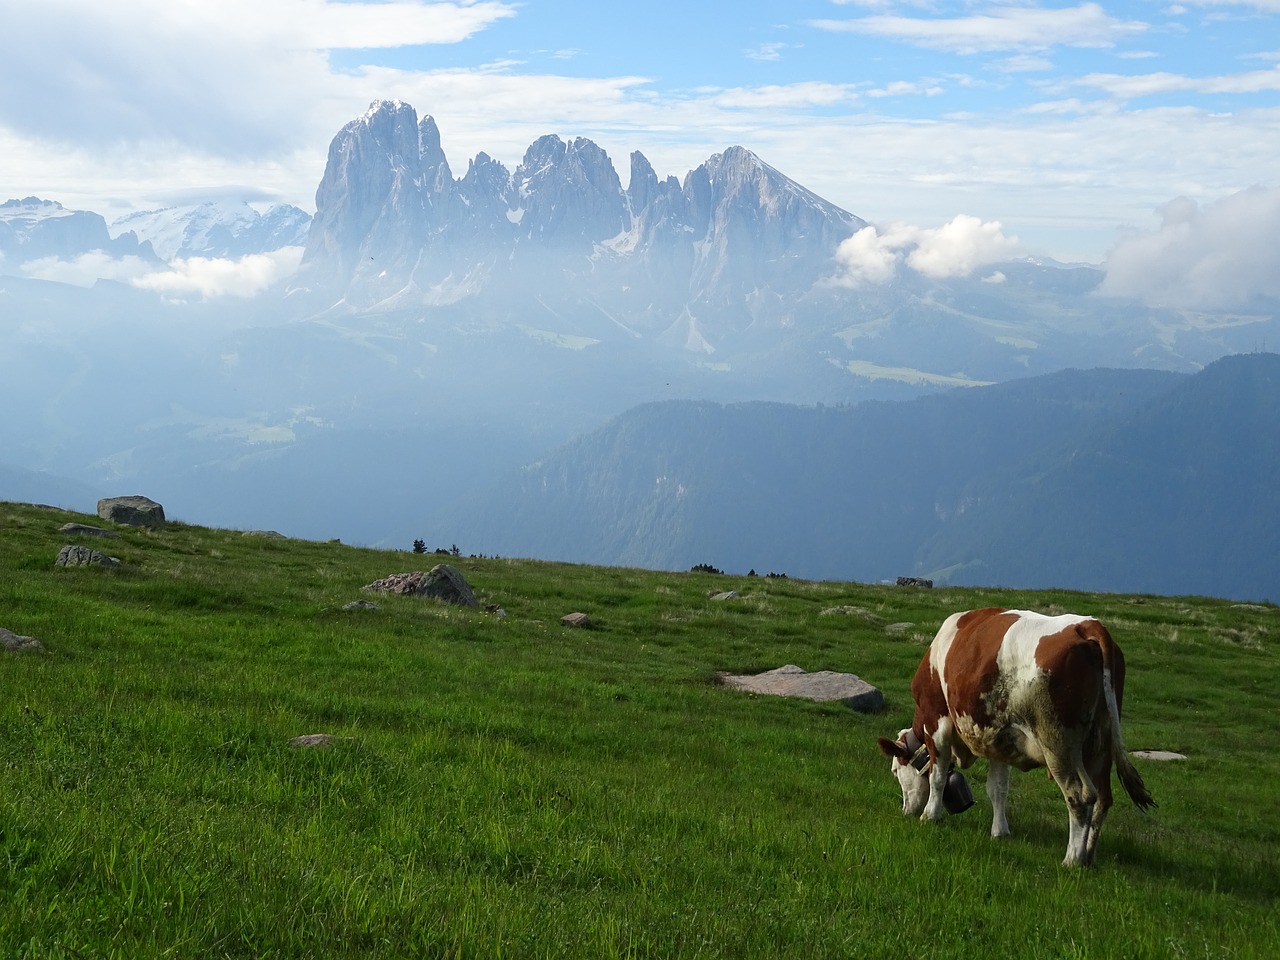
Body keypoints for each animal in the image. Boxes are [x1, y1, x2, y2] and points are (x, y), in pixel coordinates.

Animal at [875, 609, 1157, 870]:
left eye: (895, 770)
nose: (905, 810)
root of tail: (1087, 625)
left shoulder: (938, 722)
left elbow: (938, 775)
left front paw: (930, 815)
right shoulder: (998, 741)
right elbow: (998, 788)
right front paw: (1000, 832)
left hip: (1058, 744)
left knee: (1080, 797)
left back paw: (1072, 859)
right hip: (1101, 745)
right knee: (1103, 799)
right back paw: (1088, 856)